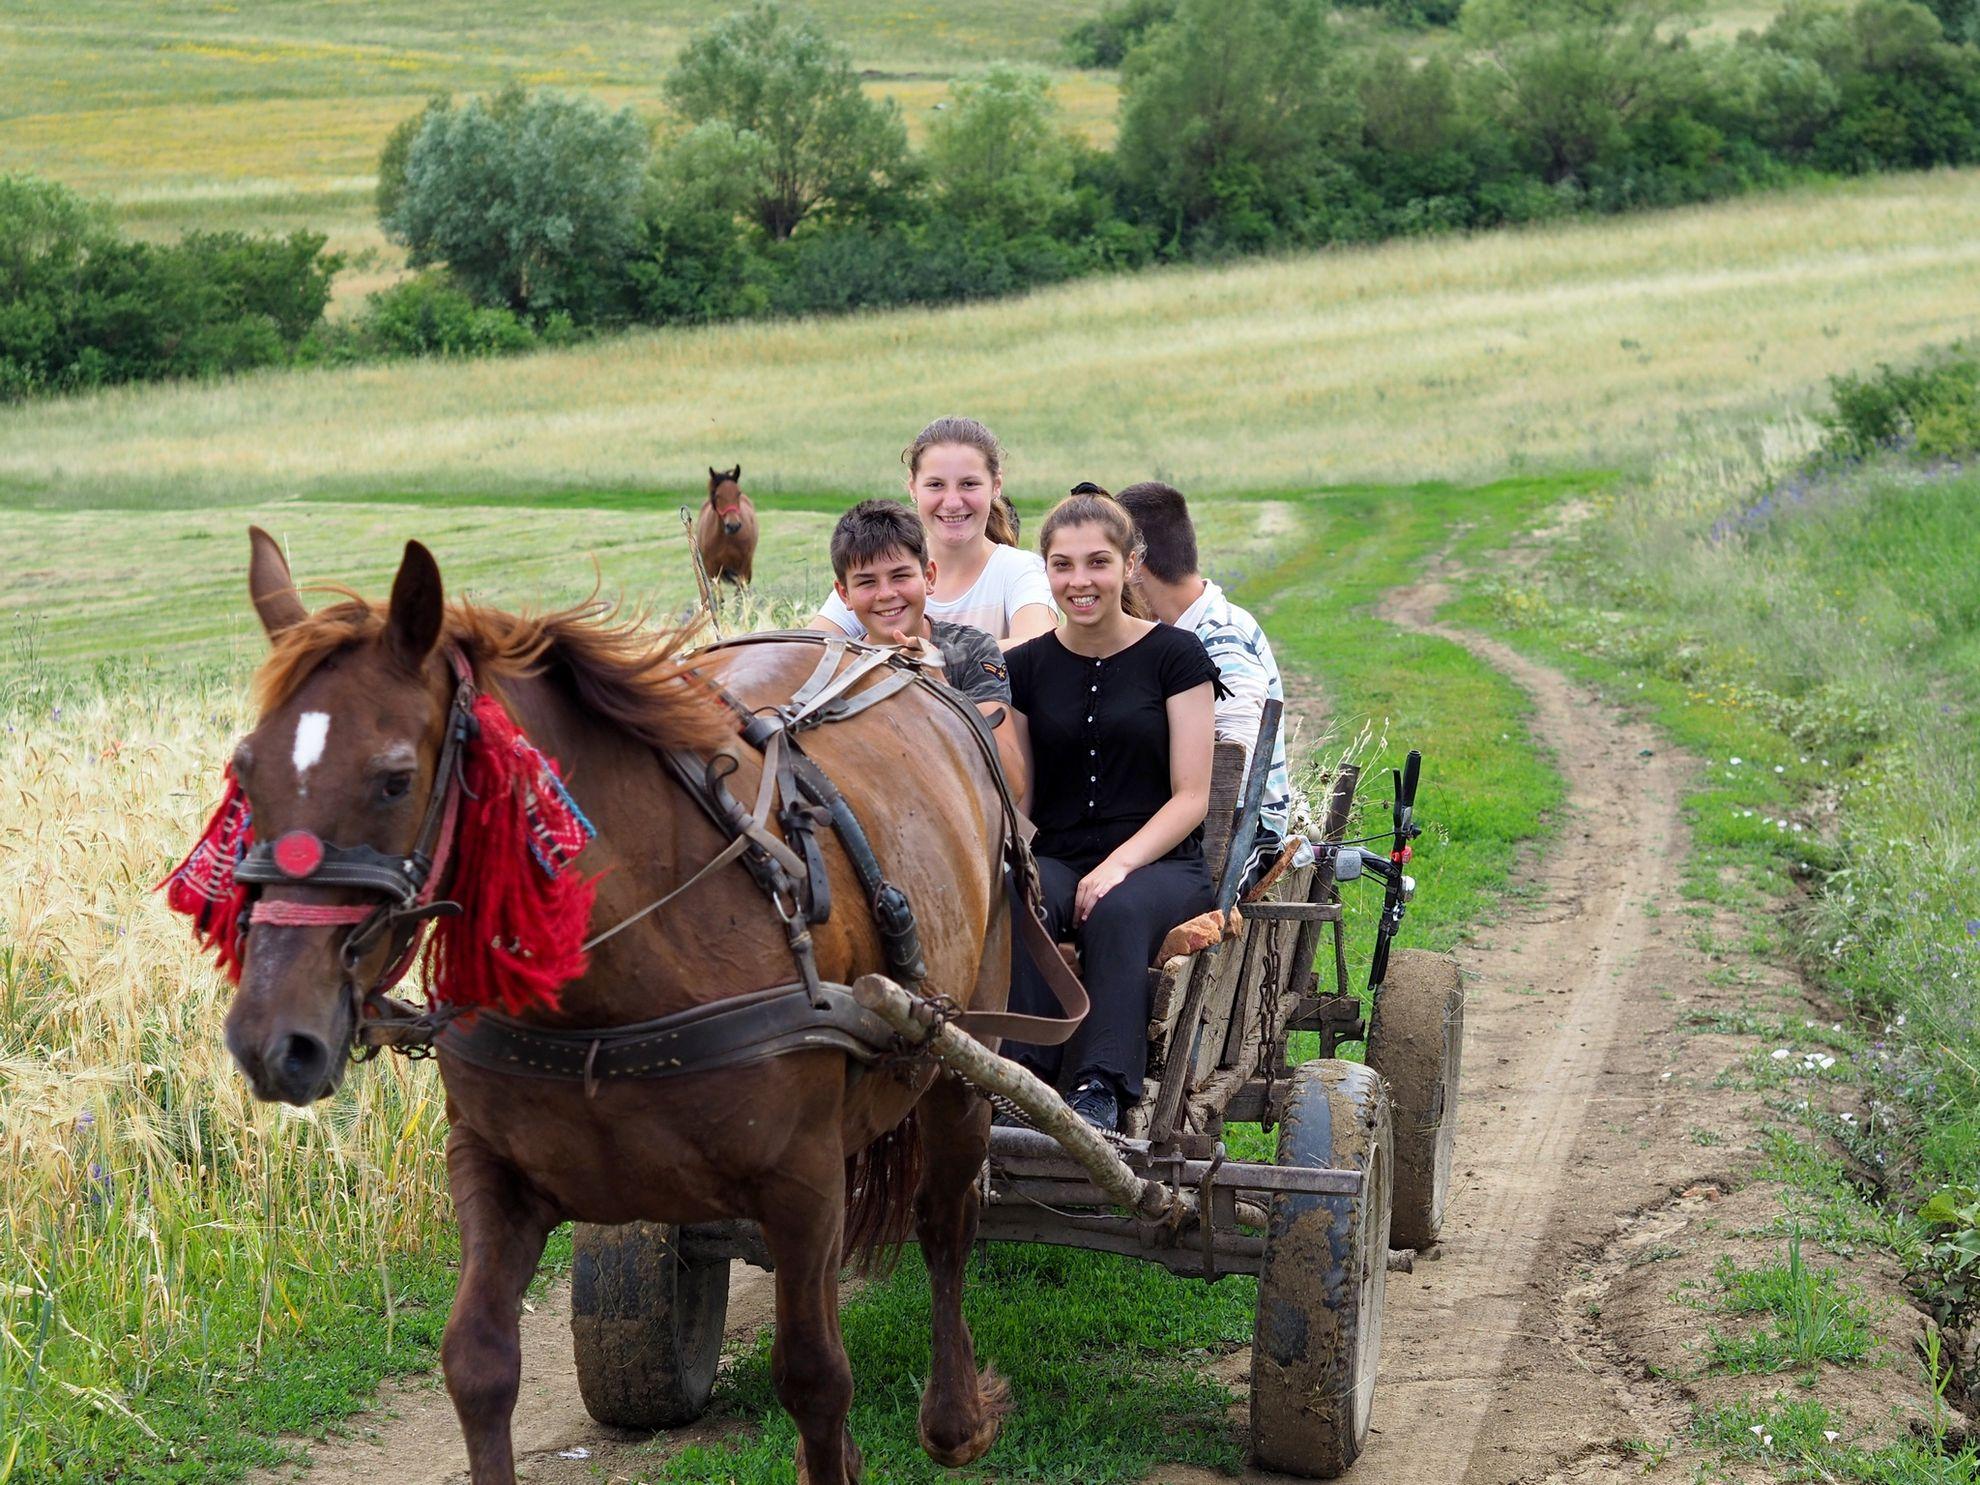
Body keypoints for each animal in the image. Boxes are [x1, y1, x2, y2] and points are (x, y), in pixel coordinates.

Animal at [218, 534, 1021, 1485]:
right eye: (244, 770)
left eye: (393, 779)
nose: (273, 1039)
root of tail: (901, 660)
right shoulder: (495, 1167)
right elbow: (476, 1360)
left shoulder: (800, 1178)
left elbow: (816, 1375)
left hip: (962, 1059)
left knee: (945, 1222)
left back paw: (954, 1413)